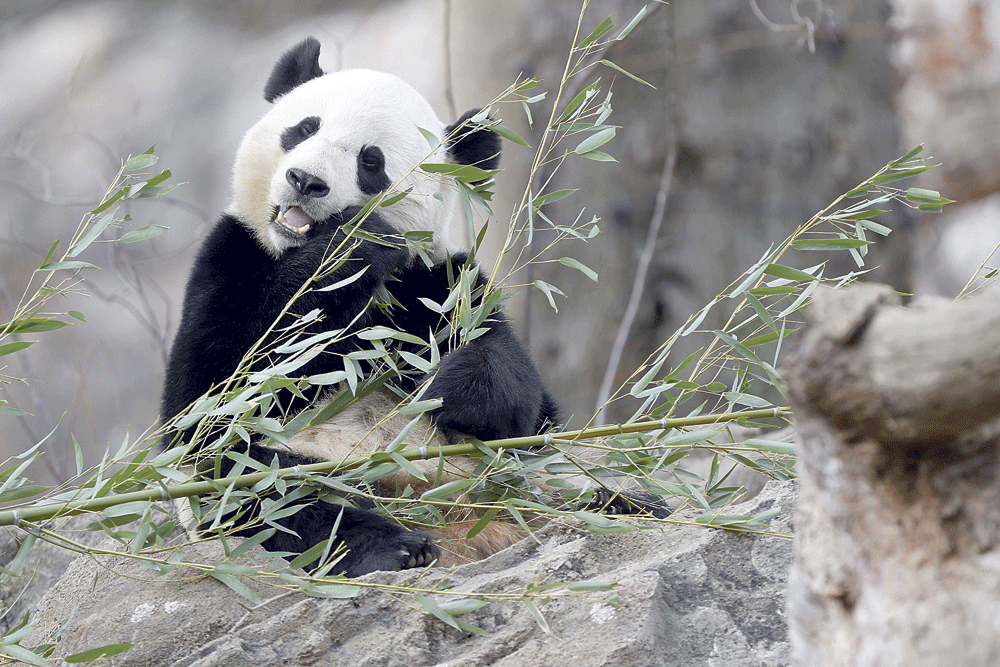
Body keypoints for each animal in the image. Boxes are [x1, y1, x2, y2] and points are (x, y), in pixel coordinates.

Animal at [161, 37, 564, 580]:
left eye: (370, 162)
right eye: (304, 128)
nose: (305, 180)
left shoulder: (435, 283)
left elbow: (518, 395)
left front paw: (453, 389)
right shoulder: (232, 255)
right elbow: (208, 393)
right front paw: (351, 246)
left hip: (517, 475)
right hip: (276, 470)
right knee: (260, 486)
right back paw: (391, 545)